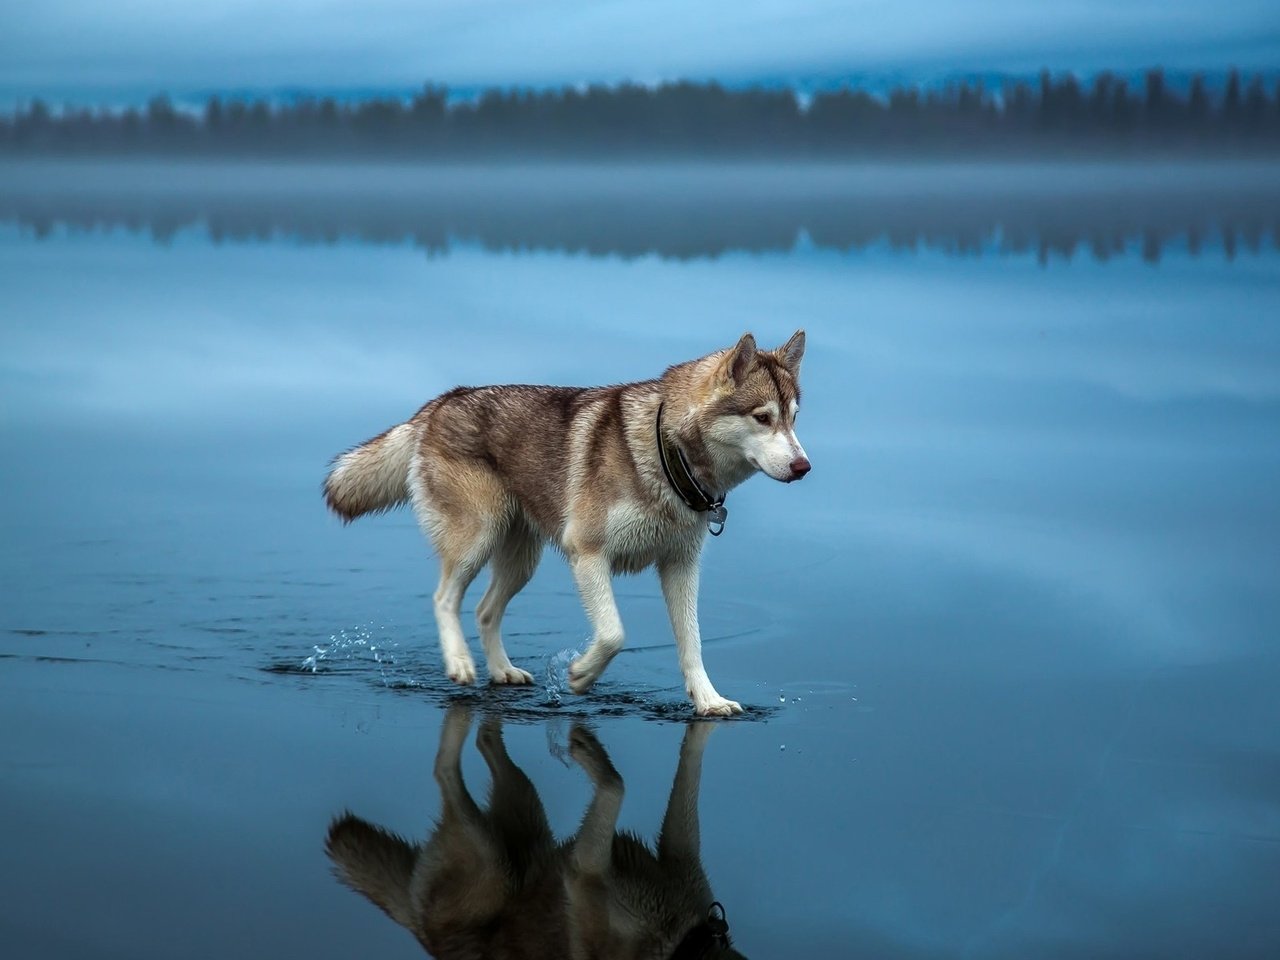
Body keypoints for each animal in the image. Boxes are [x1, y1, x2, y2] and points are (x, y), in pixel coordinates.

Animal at [327, 330, 808, 716]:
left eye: (794, 418)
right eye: (762, 417)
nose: (804, 467)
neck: (666, 454)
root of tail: (440, 402)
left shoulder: (680, 567)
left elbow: (692, 643)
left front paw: (709, 702)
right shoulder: (588, 554)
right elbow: (613, 633)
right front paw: (580, 675)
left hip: (522, 561)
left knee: (484, 611)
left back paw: (502, 671)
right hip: (476, 539)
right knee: (445, 598)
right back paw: (460, 663)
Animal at [330, 706, 747, 960]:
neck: (682, 941)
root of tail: (419, 931)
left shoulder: (679, 851)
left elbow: (689, 771)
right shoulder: (584, 871)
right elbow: (616, 785)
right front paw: (586, 750)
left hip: (526, 810)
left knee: (485, 741)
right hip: (493, 859)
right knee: (443, 770)